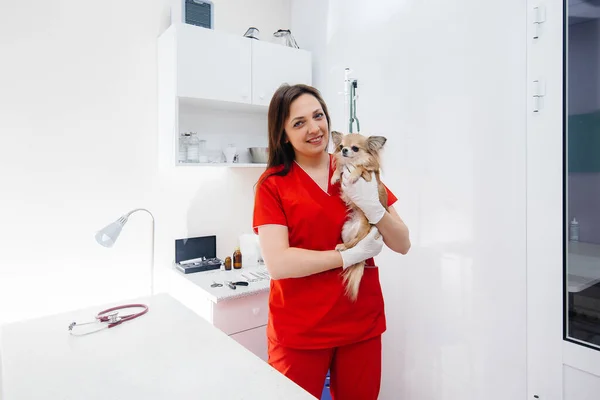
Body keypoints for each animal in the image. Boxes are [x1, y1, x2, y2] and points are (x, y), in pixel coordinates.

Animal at [328, 133, 390, 302]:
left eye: (355, 148)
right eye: (341, 146)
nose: (344, 150)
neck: (353, 161)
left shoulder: (369, 176)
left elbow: (361, 167)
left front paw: (353, 175)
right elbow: (340, 168)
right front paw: (335, 176)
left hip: (363, 227)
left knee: (356, 243)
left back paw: (343, 247)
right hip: (345, 229)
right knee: (352, 243)